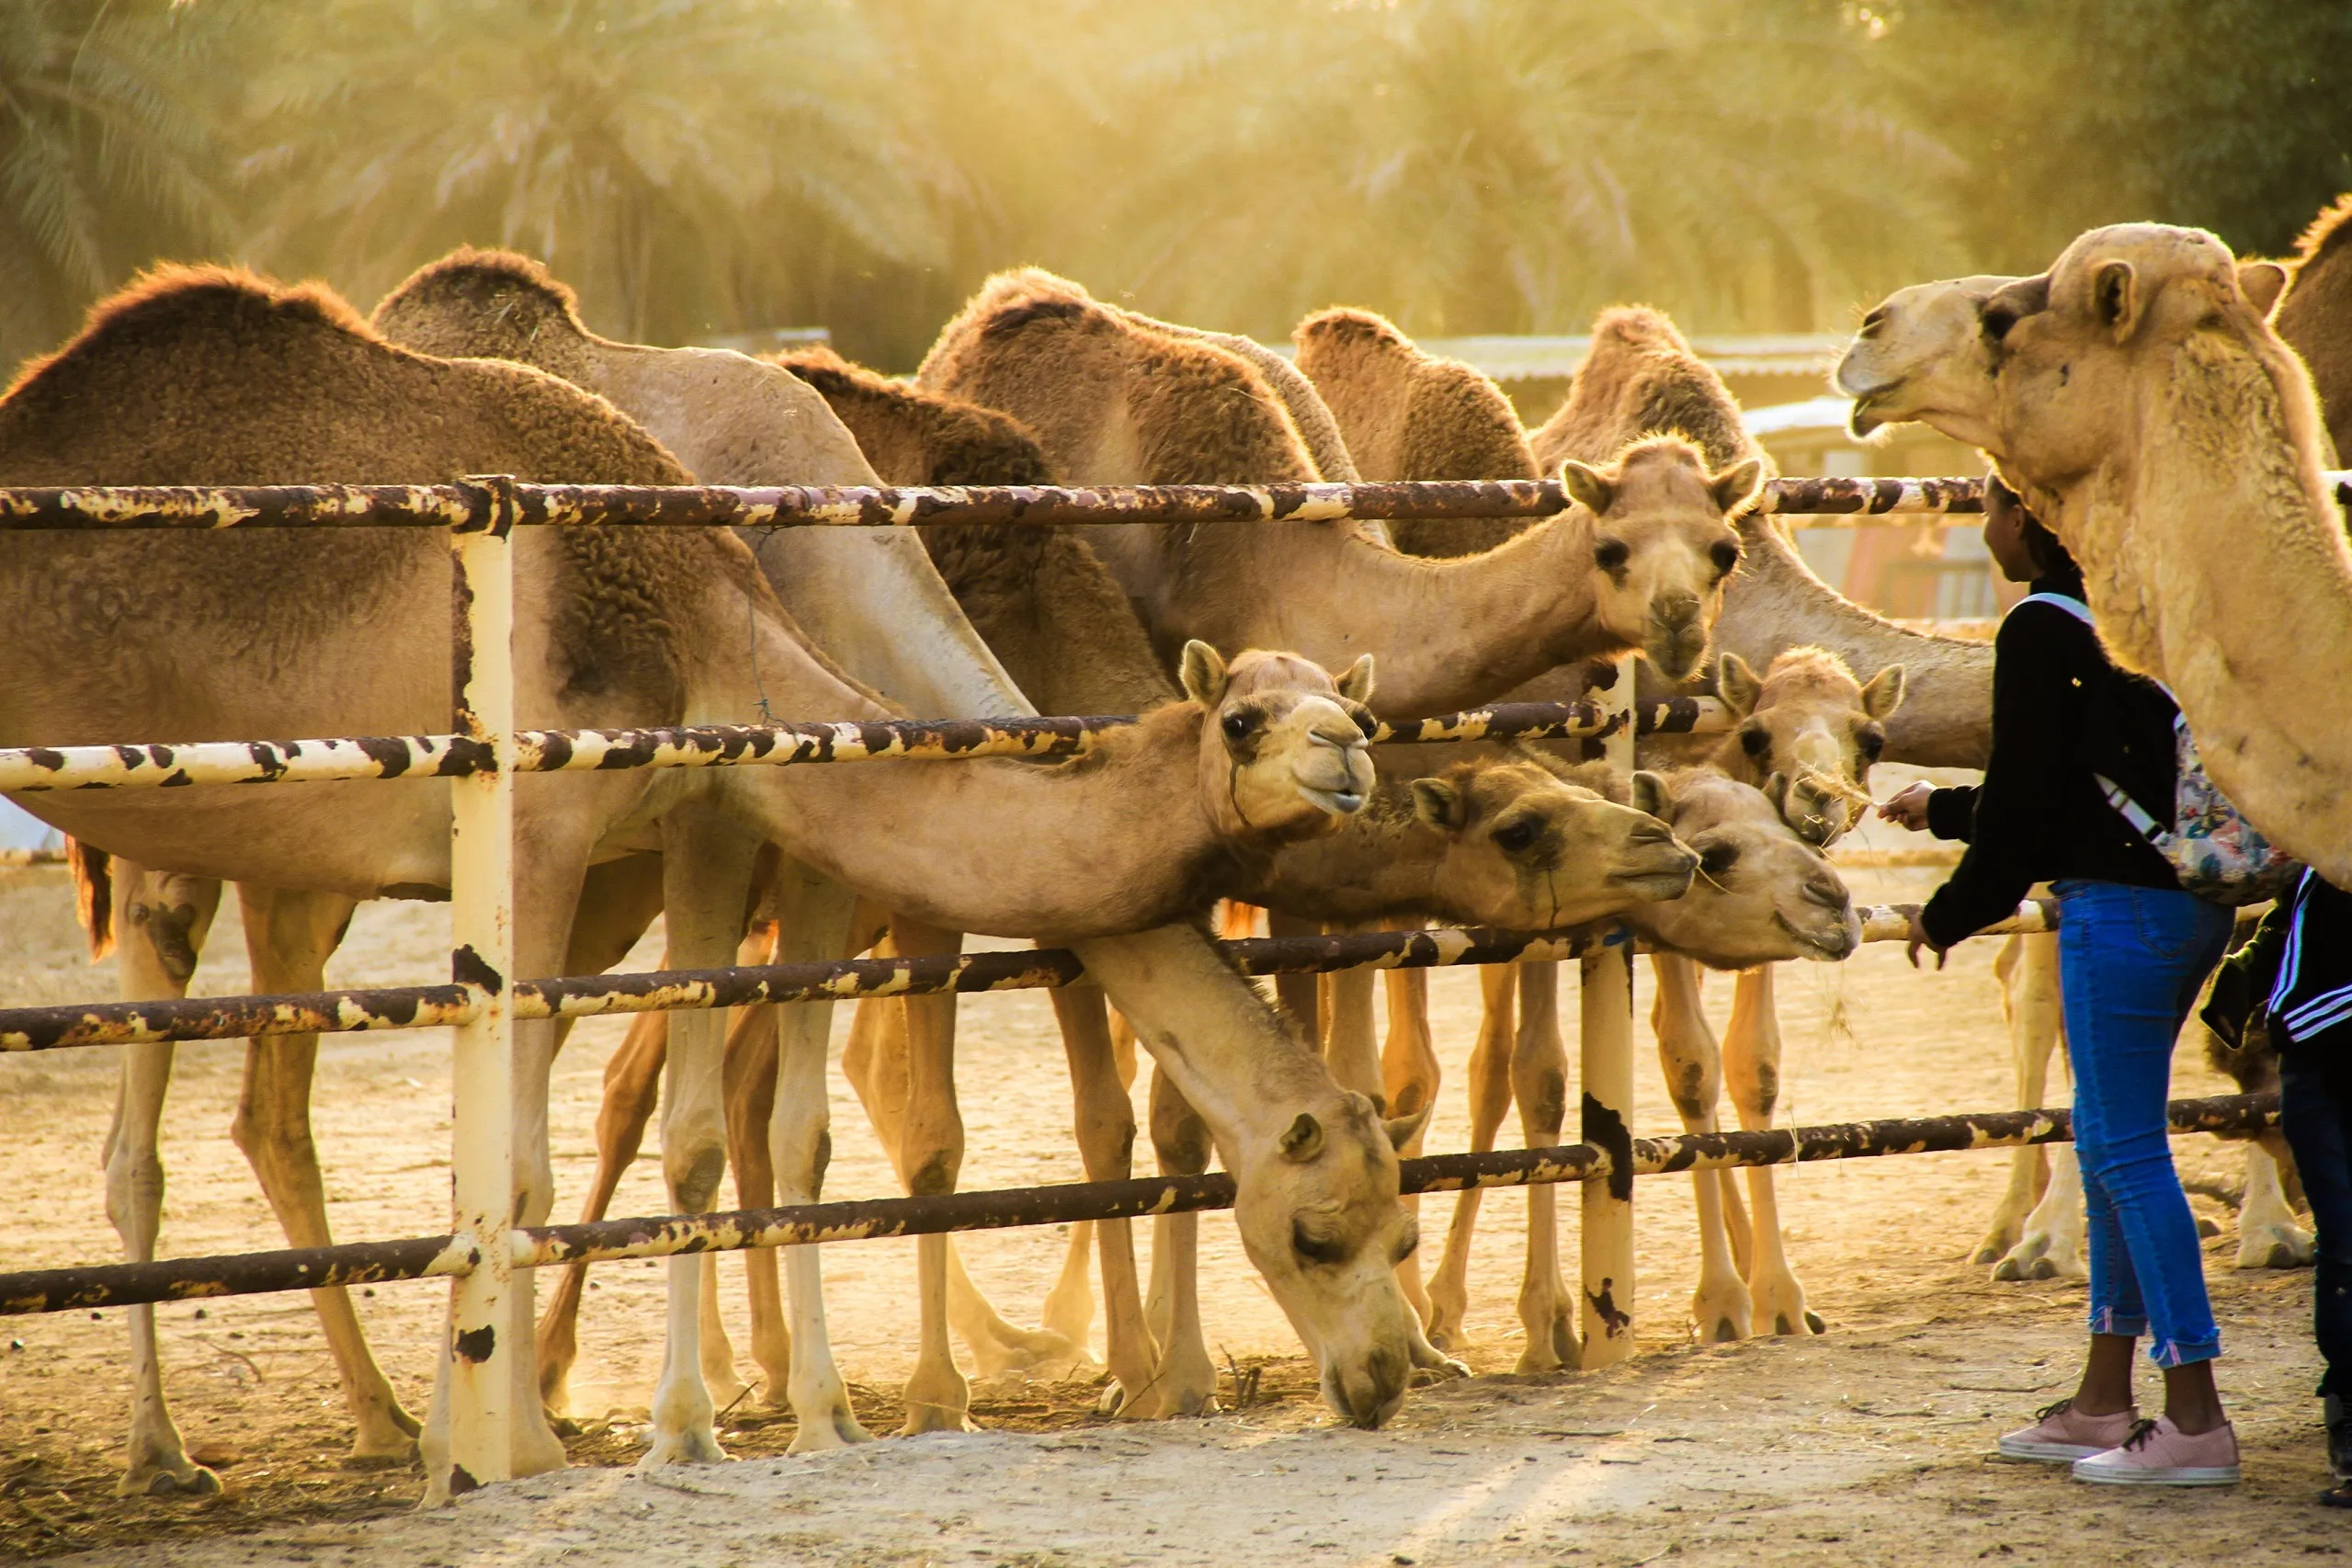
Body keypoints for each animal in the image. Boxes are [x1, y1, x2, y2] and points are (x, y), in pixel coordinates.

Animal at [0, 268, 1428, 1499]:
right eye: (1245, 719)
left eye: (1400, 1229)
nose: (1385, 1377)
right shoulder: (591, 827)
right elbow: (575, 1155)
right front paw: (598, 1437)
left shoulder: (759, 831)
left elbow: (780, 1131)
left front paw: (819, 1413)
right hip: (185, 829)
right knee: (167, 1112)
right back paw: (185, 1447)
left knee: (270, 1105)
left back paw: (392, 1415)